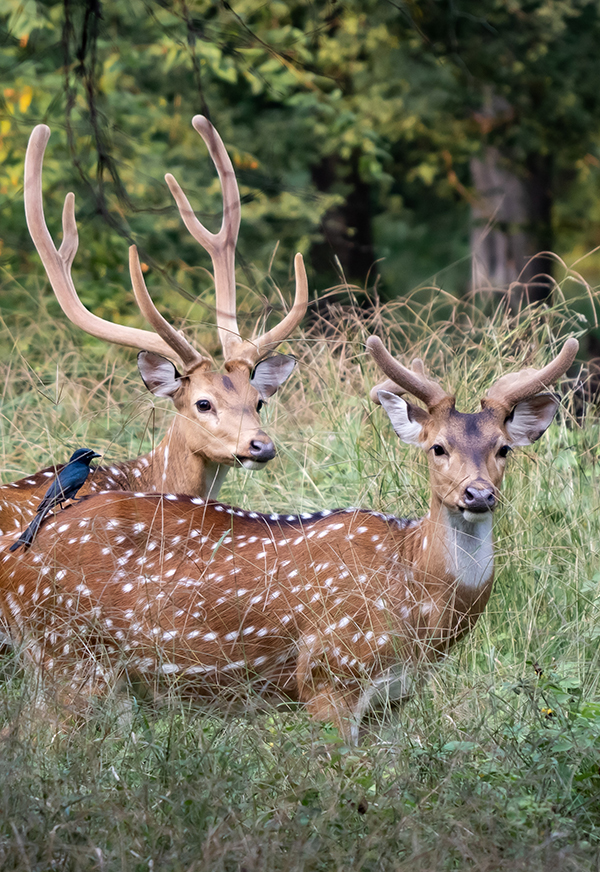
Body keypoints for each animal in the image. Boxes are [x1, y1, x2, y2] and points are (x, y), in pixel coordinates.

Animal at [0, 337, 577, 742]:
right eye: (437, 448)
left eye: (503, 448)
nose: (478, 494)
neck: (417, 594)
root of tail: (14, 562)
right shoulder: (328, 677)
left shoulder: (392, 701)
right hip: (67, 660)